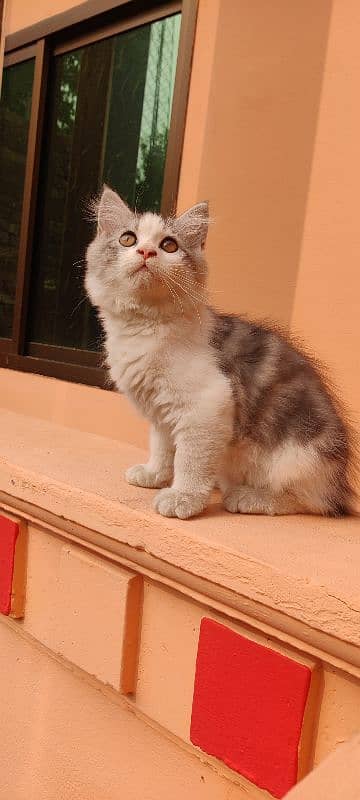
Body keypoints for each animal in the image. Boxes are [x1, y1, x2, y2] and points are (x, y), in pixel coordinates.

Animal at [86, 186, 356, 520]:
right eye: (128, 239)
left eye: (169, 245)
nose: (146, 252)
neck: (144, 329)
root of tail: (340, 481)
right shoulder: (162, 412)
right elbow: (162, 447)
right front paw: (155, 474)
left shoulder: (207, 405)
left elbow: (189, 460)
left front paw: (183, 496)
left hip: (298, 457)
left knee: (311, 502)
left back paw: (248, 496)